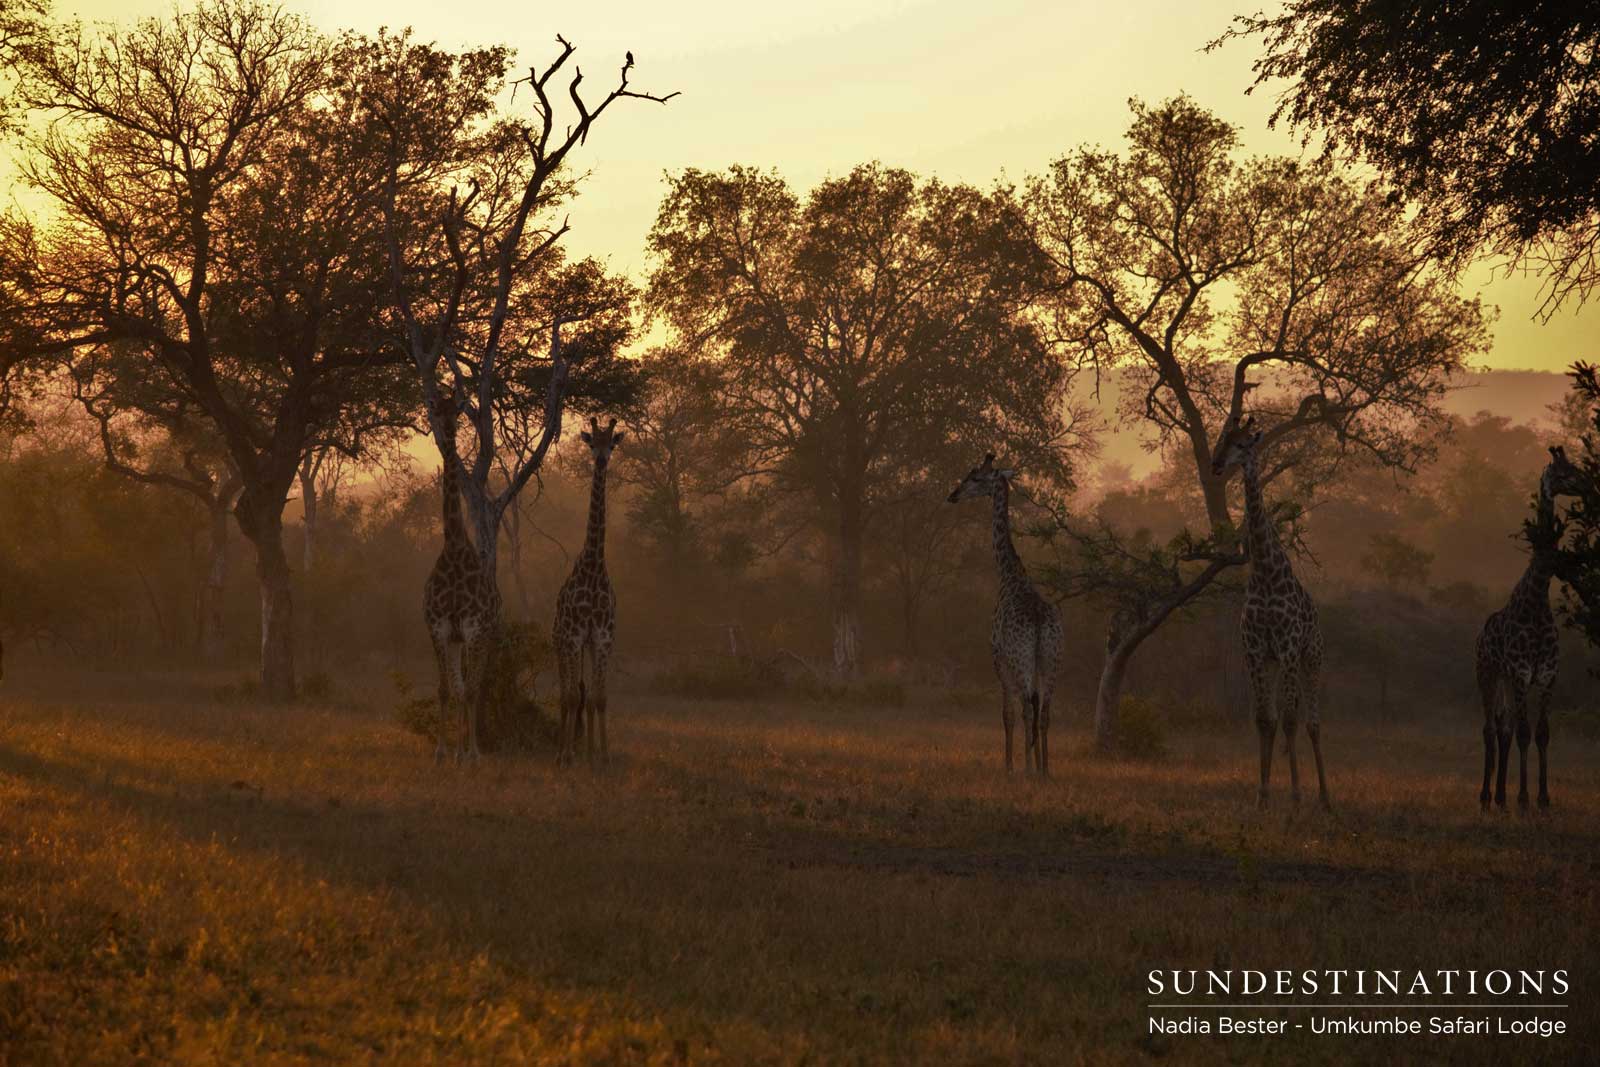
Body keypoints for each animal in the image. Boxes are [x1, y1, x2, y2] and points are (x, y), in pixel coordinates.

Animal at [947, 453, 1065, 775]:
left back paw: (1026, 769)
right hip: (1051, 657)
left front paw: (1010, 766)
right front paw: (1032, 764)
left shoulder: (997, 657)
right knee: (1044, 710)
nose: (953, 495)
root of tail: (1038, 621)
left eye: (976, 477)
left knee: (1026, 707)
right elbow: (1032, 710)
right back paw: (1044, 770)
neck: (1009, 575)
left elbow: (1007, 713)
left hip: (1020, 658)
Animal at [1211, 415, 1329, 809]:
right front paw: (1262, 797)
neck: (1264, 572)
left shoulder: (1290, 647)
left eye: (1243, 443)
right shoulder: (1254, 650)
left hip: (1311, 657)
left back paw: (1324, 797)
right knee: (1281, 717)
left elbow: (1291, 720)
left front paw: (1295, 796)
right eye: (1220, 439)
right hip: (1277, 662)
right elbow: (1265, 720)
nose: (1216, 465)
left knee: (1312, 722)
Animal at [1475, 446, 1585, 812]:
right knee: (1490, 729)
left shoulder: (1547, 675)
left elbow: (1541, 733)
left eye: (1575, 467)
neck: (1537, 598)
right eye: (1564, 472)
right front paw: (1524, 799)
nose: (1589, 483)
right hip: (1488, 673)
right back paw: (1486, 797)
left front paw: (1542, 798)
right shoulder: (1521, 674)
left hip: (1507, 681)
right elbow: (1524, 733)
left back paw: (1500, 797)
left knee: (1504, 727)